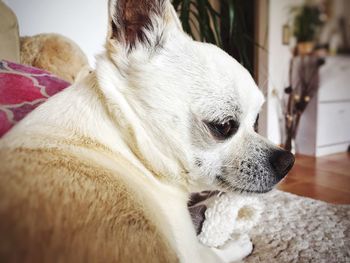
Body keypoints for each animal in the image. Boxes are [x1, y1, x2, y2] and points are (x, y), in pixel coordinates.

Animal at [0, 0, 294, 263]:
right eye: (224, 126)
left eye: (256, 120)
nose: (287, 160)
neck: (126, 142)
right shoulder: (189, 251)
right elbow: (213, 253)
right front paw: (237, 243)